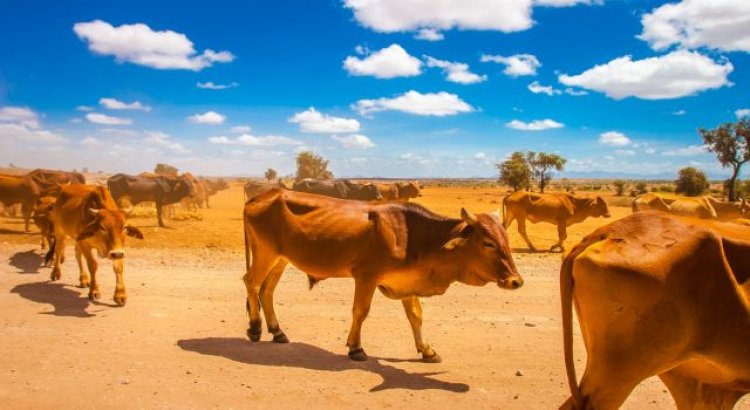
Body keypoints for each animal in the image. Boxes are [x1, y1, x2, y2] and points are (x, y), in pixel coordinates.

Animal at [242, 189, 524, 362]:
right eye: (488, 243)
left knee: (267, 290)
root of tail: (262, 196)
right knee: (251, 283)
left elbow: (416, 316)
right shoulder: (366, 276)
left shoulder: (406, 282)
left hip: (281, 259)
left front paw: (427, 350)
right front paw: (356, 348)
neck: (413, 235)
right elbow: (360, 311)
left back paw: (278, 332)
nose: (516, 281)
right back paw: (255, 329)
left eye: (506, 239)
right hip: (266, 253)